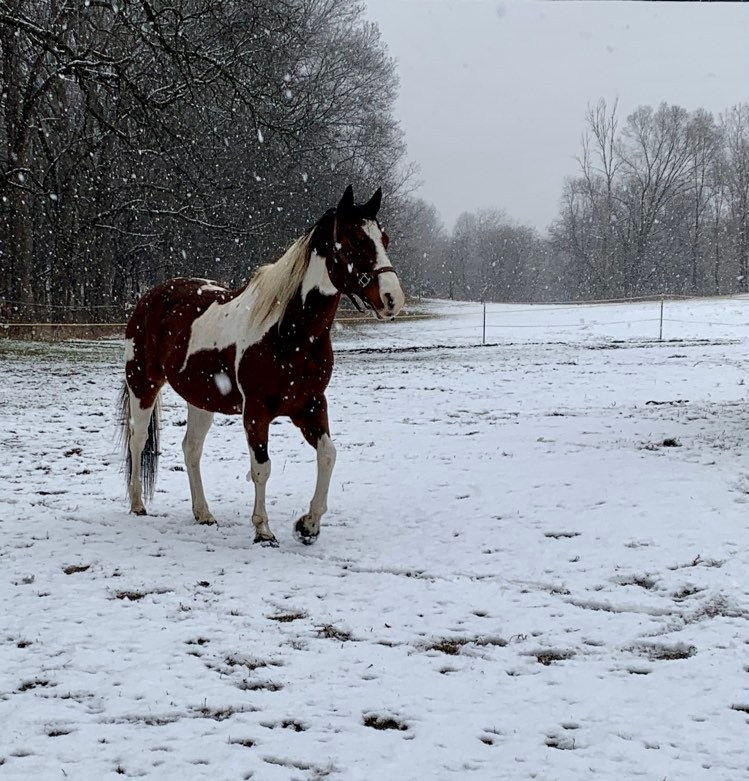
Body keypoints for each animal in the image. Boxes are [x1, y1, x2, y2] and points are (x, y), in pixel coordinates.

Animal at [119, 185, 404, 546]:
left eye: (384, 238)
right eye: (354, 240)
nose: (393, 298)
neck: (288, 333)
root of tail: (150, 296)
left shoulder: (310, 405)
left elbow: (328, 454)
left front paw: (308, 525)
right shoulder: (256, 410)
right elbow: (261, 468)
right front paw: (263, 530)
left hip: (201, 398)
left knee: (191, 449)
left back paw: (204, 514)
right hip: (143, 384)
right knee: (138, 439)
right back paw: (138, 506)